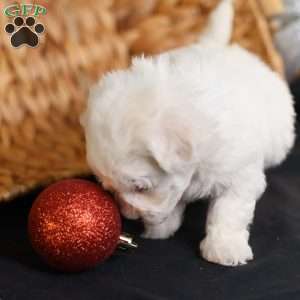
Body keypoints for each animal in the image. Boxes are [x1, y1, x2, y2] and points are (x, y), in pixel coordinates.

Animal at [80, 0, 296, 268]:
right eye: (108, 188)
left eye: (141, 188)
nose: (129, 216)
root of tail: (216, 46)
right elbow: (173, 205)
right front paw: (159, 230)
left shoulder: (238, 174)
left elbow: (228, 211)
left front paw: (224, 248)